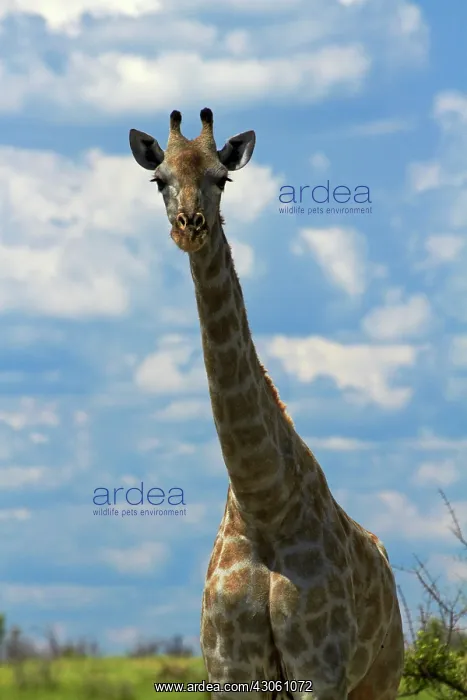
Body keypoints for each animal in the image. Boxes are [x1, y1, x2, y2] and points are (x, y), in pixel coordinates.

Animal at [129, 109, 404, 699]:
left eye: (222, 178)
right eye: (159, 179)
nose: (189, 226)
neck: (263, 503)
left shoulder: (320, 668)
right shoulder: (229, 667)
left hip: (381, 674)